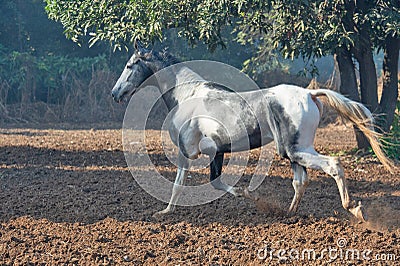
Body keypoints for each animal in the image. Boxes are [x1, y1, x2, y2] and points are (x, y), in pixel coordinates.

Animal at [111, 40, 392, 221]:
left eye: (129, 65)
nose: (115, 94)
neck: (187, 94)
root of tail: (310, 94)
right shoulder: (217, 151)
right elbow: (215, 182)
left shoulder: (187, 151)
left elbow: (180, 185)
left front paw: (165, 212)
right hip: (294, 152)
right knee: (300, 182)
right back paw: (288, 214)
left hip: (297, 149)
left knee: (333, 165)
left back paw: (354, 208)